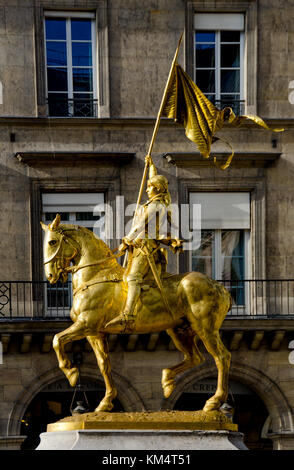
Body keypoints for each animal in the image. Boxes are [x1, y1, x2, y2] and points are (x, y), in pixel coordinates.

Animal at [40, 215, 232, 414]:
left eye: (52, 242)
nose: (51, 276)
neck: (96, 275)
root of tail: (219, 286)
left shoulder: (85, 324)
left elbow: (56, 340)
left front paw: (71, 372)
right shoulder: (95, 333)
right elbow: (104, 365)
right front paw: (105, 402)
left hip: (205, 329)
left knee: (222, 357)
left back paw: (214, 401)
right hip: (179, 330)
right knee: (196, 358)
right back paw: (167, 381)